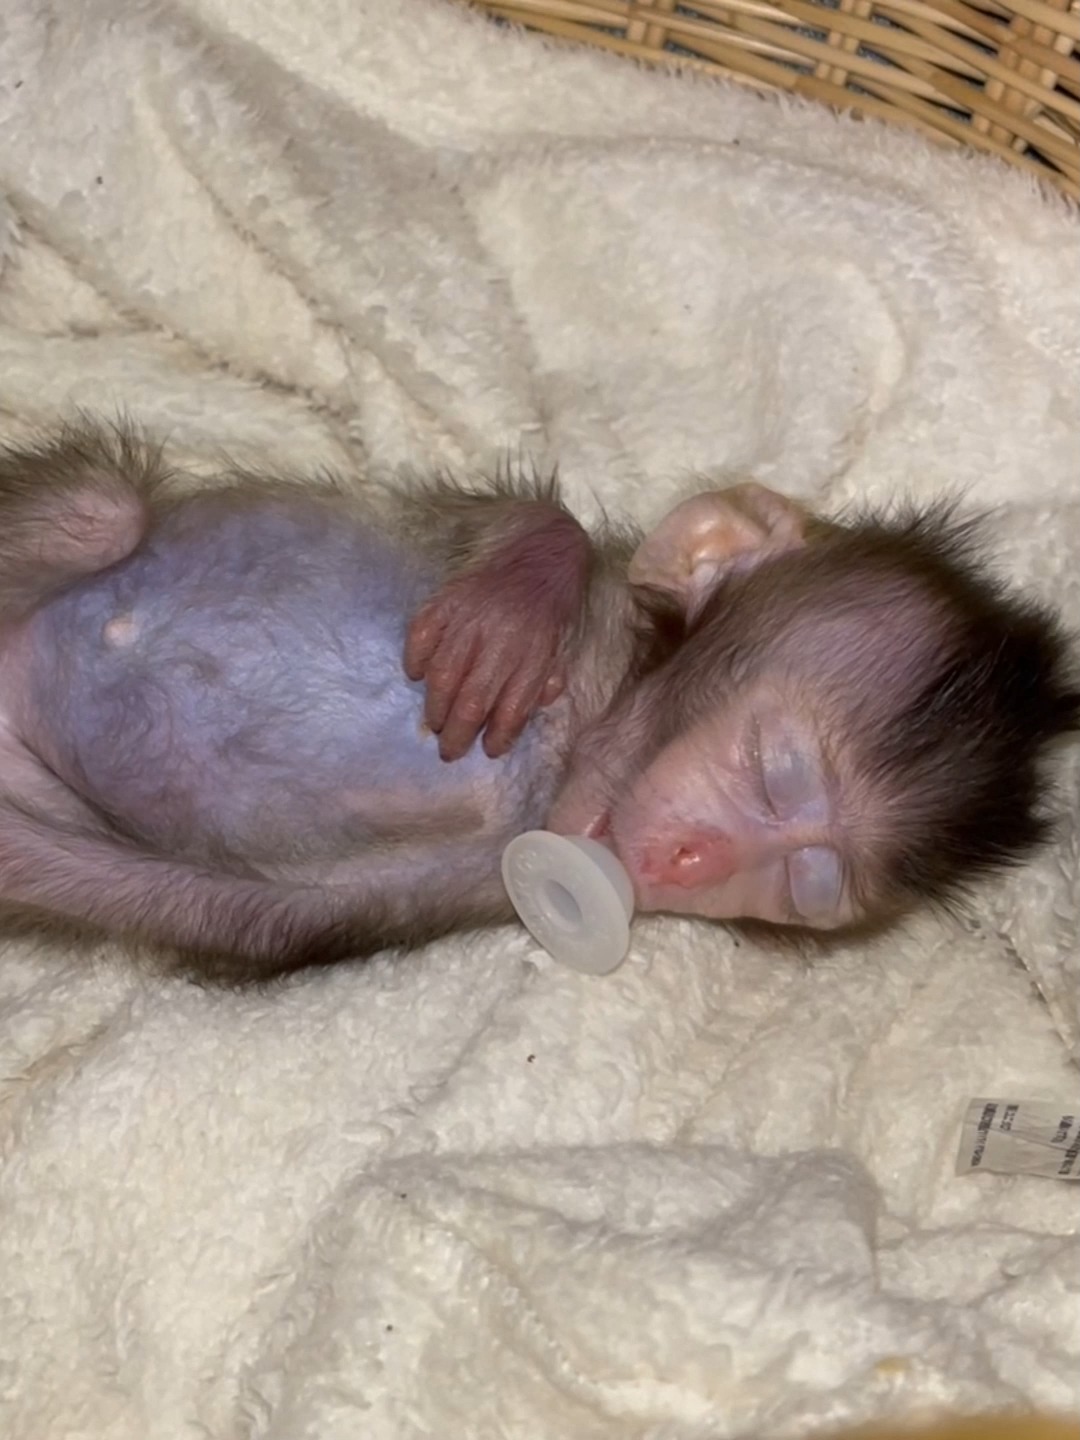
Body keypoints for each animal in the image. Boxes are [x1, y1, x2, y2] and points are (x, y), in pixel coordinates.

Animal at [0, 419, 1074, 983]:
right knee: (103, 509)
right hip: (84, 522)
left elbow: (233, 915)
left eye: (802, 887)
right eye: (775, 769)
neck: (579, 724)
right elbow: (486, 519)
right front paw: (516, 604)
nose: (697, 856)